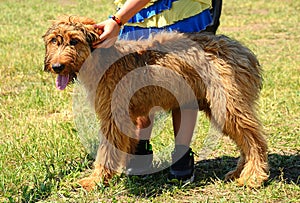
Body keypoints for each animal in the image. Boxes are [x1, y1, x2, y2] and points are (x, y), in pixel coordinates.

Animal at [42, 15, 270, 190]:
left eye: (74, 41)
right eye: (54, 41)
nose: (57, 66)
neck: (103, 59)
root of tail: (244, 51)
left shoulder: (113, 117)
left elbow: (105, 150)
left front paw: (94, 180)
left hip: (228, 105)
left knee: (255, 141)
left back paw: (253, 177)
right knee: (246, 142)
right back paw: (239, 172)